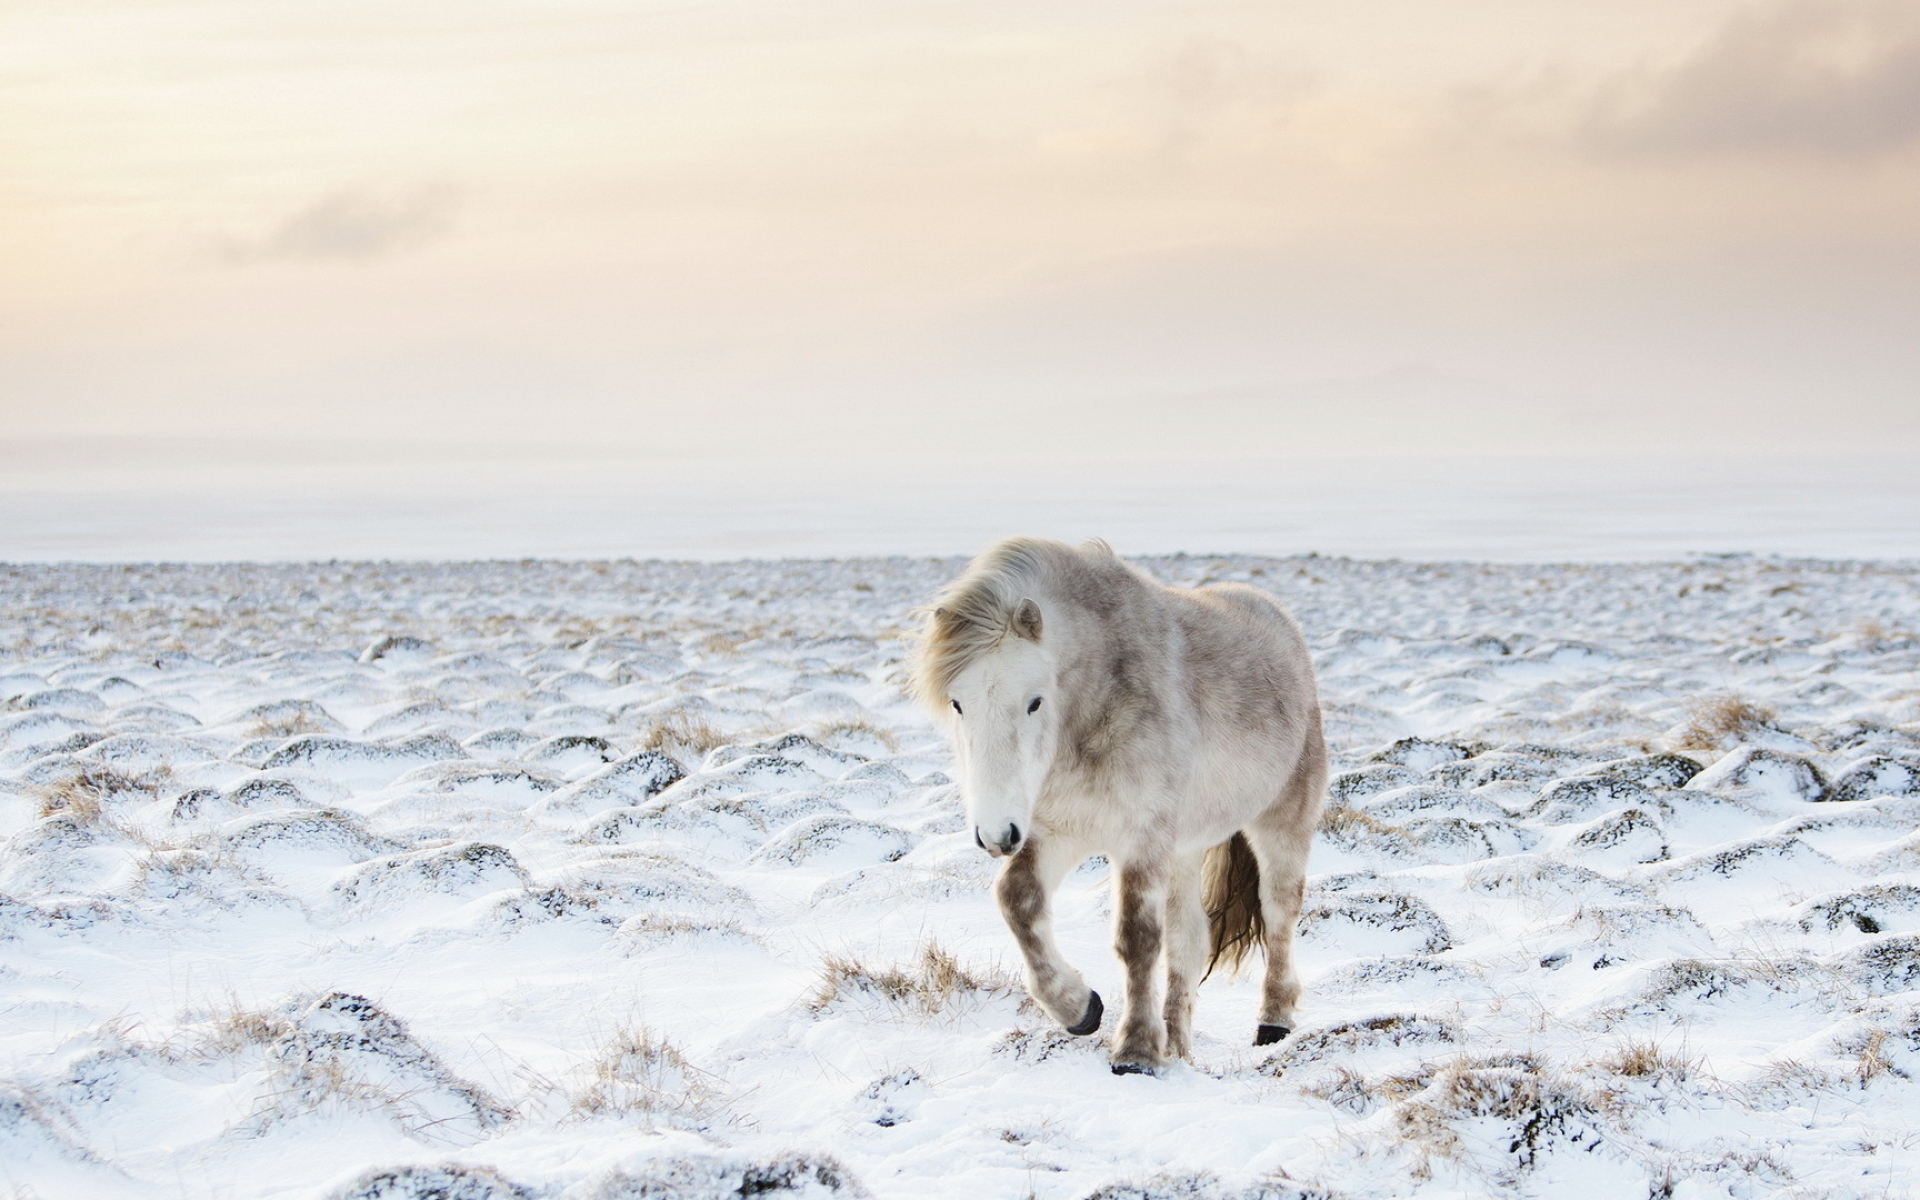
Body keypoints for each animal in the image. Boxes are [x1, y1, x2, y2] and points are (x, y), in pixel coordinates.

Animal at [910, 537, 1328, 1075]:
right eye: (957, 703)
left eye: (1034, 702)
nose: (995, 835)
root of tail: (1279, 621)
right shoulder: (1059, 831)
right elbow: (1017, 901)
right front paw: (1078, 1008)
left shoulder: (1140, 838)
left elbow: (1138, 938)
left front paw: (1136, 1052)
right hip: (1183, 848)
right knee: (1189, 939)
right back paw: (1178, 1046)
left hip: (1281, 821)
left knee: (1278, 914)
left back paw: (1273, 1024)